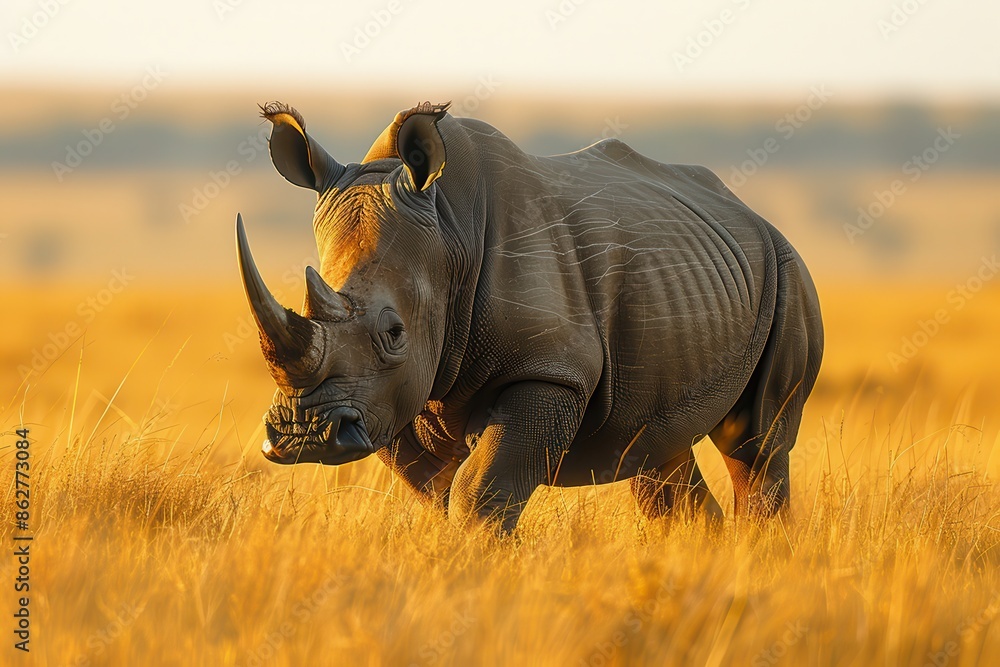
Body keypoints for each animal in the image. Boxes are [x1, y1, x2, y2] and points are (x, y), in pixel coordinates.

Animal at [236, 100, 823, 530]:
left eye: (394, 332)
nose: (304, 436)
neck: (450, 233)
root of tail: (752, 212)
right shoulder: (387, 393)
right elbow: (432, 490)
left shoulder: (549, 370)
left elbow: (480, 491)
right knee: (656, 452)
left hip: (788, 271)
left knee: (758, 445)